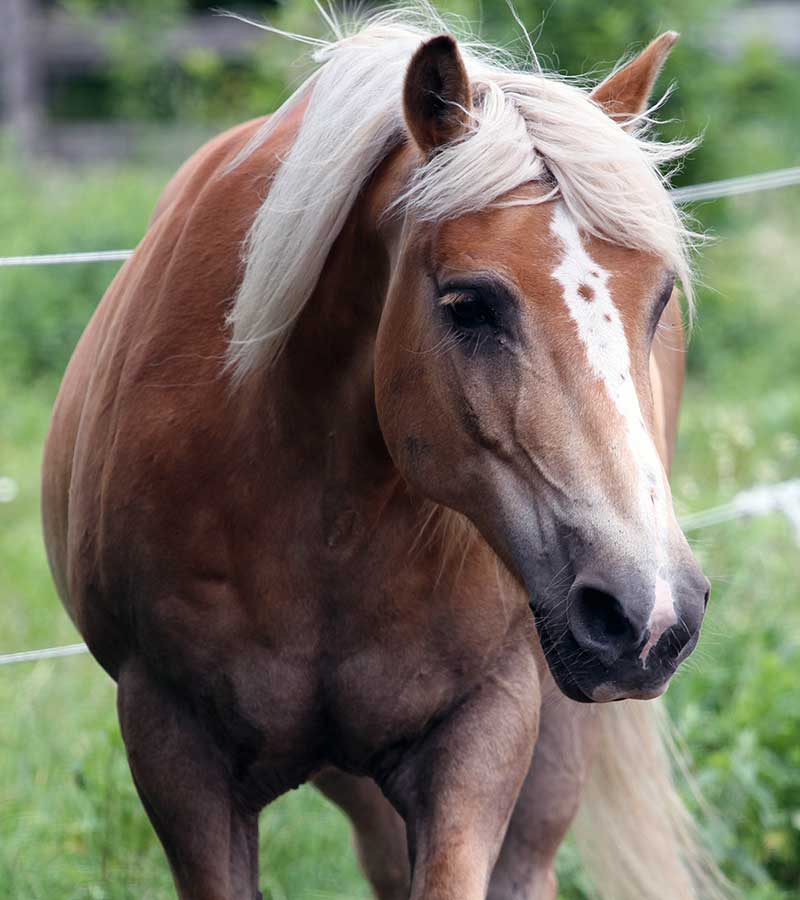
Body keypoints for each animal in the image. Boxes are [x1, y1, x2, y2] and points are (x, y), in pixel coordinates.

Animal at [42, 7, 724, 900]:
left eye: (661, 299)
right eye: (468, 304)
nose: (650, 613)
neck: (325, 515)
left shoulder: (484, 733)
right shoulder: (175, 750)